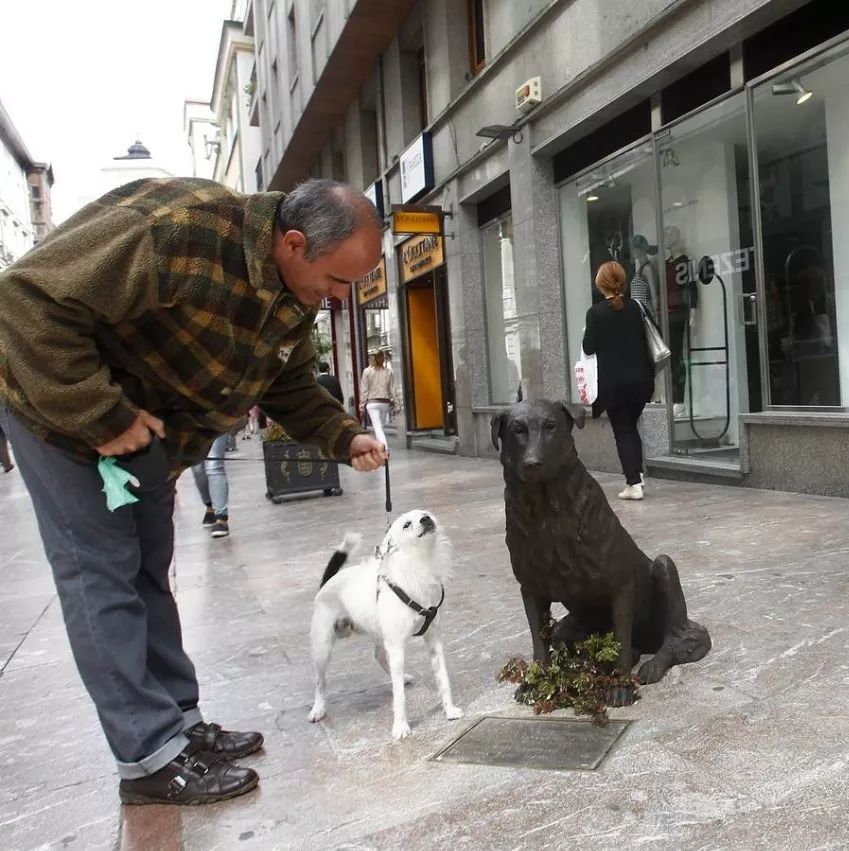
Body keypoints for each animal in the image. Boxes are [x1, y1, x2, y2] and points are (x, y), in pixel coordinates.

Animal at [306, 512, 460, 740]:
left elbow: (443, 679)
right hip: (323, 646)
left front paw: (449, 710)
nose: (425, 519)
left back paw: (403, 677)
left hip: (380, 634)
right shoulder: (396, 646)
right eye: (407, 524)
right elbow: (399, 696)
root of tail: (327, 582)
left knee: (379, 656)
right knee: (319, 681)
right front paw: (401, 726)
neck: (419, 563)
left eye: (426, 514)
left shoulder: (433, 641)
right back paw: (318, 709)